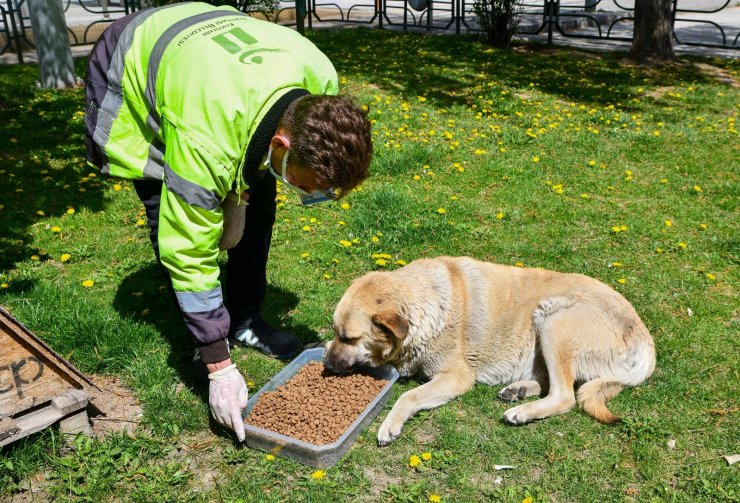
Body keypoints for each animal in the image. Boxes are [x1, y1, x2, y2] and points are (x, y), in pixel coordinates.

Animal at [324, 258, 652, 446]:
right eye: (335, 331)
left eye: (349, 337)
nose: (326, 366)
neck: (426, 305)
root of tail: (647, 347)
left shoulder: (456, 377)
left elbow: (409, 396)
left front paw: (391, 424)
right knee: (556, 384)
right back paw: (519, 390)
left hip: (552, 319)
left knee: (565, 395)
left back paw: (522, 411)